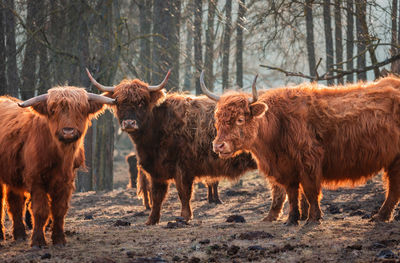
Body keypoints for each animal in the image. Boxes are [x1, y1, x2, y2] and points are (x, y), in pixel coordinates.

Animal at [0, 88, 115, 248]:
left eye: (81, 110)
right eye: (53, 111)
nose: (68, 131)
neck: (59, 154)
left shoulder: (66, 181)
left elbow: (59, 210)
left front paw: (59, 240)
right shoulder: (36, 180)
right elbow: (40, 210)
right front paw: (38, 241)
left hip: (13, 176)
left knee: (15, 203)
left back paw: (20, 235)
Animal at [203, 73, 400, 226]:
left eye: (240, 120)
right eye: (218, 119)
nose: (218, 145)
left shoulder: (309, 162)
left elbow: (310, 192)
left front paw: (313, 218)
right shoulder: (287, 168)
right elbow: (292, 194)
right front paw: (292, 219)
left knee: (393, 188)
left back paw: (380, 216)